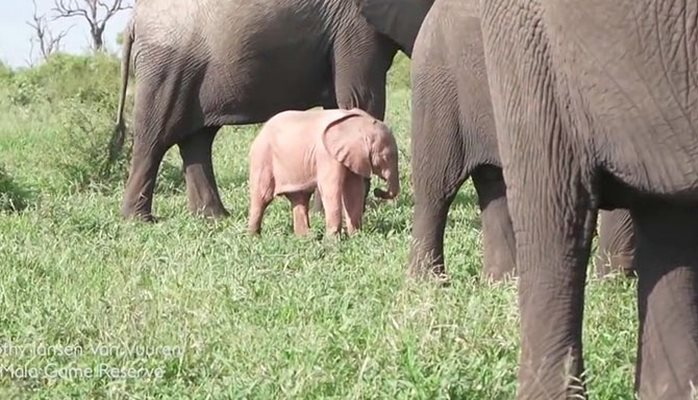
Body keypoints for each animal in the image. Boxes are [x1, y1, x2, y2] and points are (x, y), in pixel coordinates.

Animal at [111, 0, 432, 222]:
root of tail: (132, 21)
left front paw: (322, 213)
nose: (382, 194)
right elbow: (361, 100)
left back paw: (213, 217)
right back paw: (139, 220)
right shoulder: (354, 26)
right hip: (168, 65)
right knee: (155, 137)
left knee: (198, 139)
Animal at [246, 108, 396, 236]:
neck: (358, 123)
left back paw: (306, 237)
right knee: (263, 197)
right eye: (385, 157)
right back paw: (254, 237)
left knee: (300, 197)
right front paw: (333, 242)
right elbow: (331, 189)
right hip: (262, 159)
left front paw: (356, 236)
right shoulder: (326, 155)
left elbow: (354, 189)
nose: (378, 191)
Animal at [362, 0, 632, 280]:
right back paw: (429, 281)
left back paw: (502, 279)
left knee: (492, 182)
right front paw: (614, 279)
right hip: (439, 79)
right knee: (437, 186)